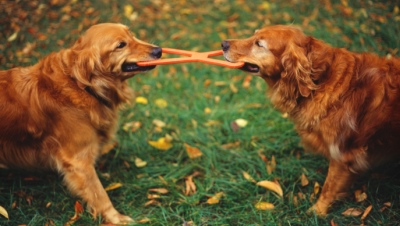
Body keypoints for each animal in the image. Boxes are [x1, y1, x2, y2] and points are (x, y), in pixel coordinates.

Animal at [0, 23, 162, 224]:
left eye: (131, 34)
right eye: (121, 45)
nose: (159, 50)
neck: (81, 85)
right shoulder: (79, 161)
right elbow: (99, 194)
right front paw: (117, 218)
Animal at [222, 25, 400, 215]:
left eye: (259, 44)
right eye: (253, 35)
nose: (223, 44)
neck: (320, 80)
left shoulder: (343, 155)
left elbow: (329, 187)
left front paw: (317, 211)